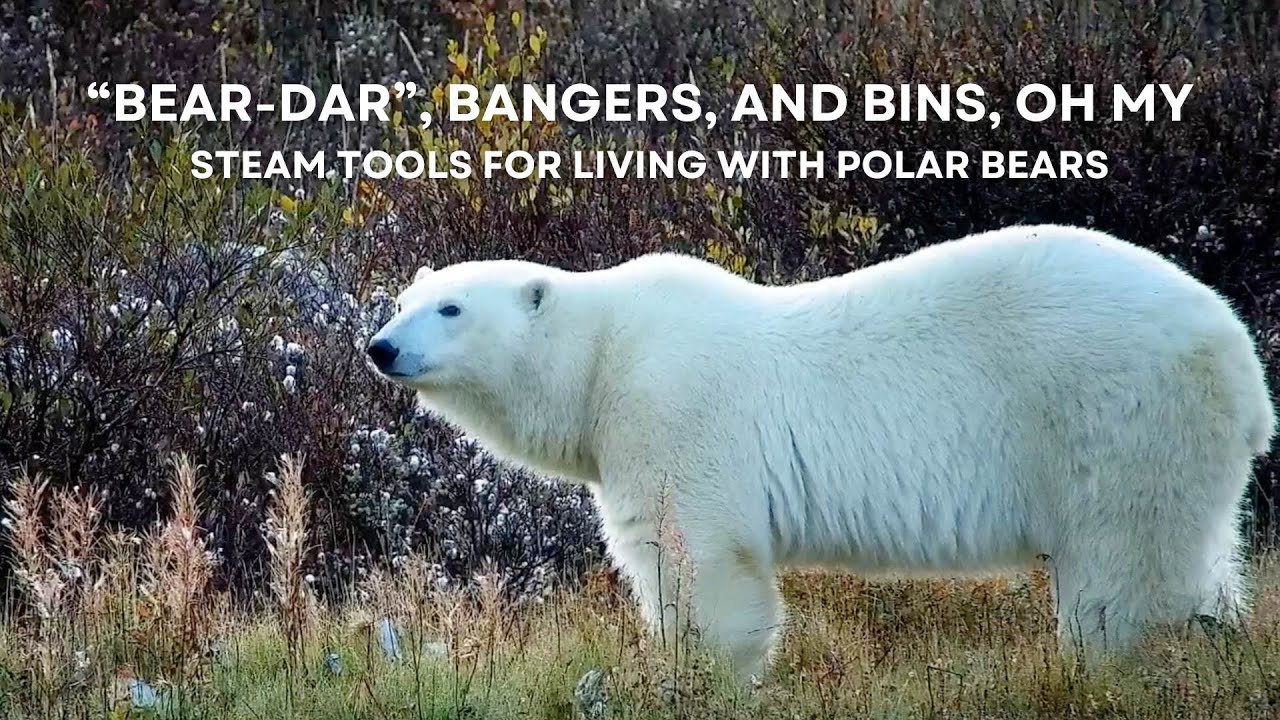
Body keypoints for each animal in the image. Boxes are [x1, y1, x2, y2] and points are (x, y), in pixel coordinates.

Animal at [366, 223, 1275, 680]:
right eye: (406, 299)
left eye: (451, 308)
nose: (380, 347)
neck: (603, 355)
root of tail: (1241, 359)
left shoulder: (672, 410)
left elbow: (697, 553)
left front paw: (703, 675)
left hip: (1117, 416)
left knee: (1123, 572)